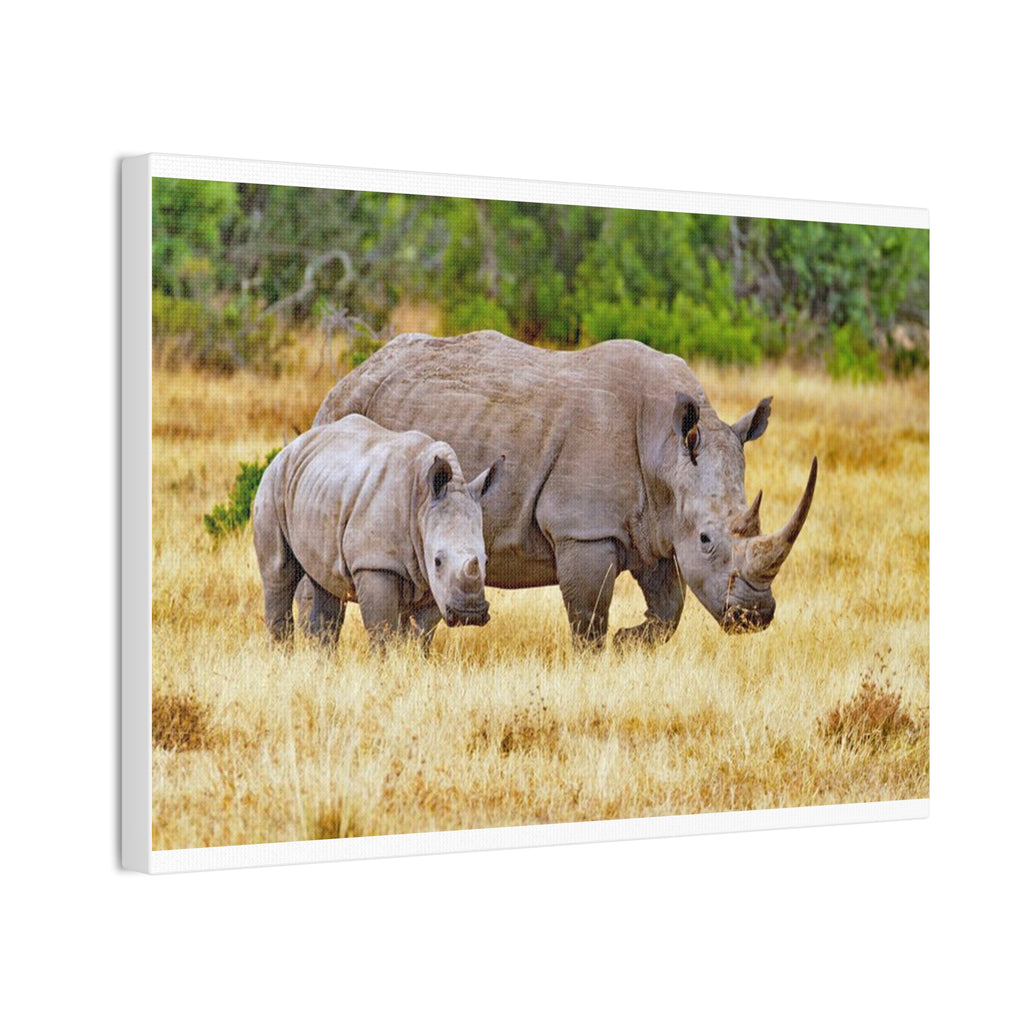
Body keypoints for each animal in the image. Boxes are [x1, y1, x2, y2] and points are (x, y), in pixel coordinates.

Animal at [253, 413, 503, 650]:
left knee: (326, 584)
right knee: (279, 573)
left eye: (486, 560)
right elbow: (381, 630)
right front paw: (383, 662)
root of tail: (291, 447)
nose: (469, 615)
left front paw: (414, 658)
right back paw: (282, 655)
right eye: (438, 561)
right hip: (273, 482)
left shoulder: (434, 580)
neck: (422, 504)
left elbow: (421, 633)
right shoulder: (375, 562)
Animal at [312, 331, 817, 649]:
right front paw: (601, 656)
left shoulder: (652, 525)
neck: (666, 451)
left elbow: (669, 607)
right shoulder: (584, 529)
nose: (754, 616)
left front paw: (630, 642)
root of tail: (351, 374)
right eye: (707, 539)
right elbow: (589, 616)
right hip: (342, 413)